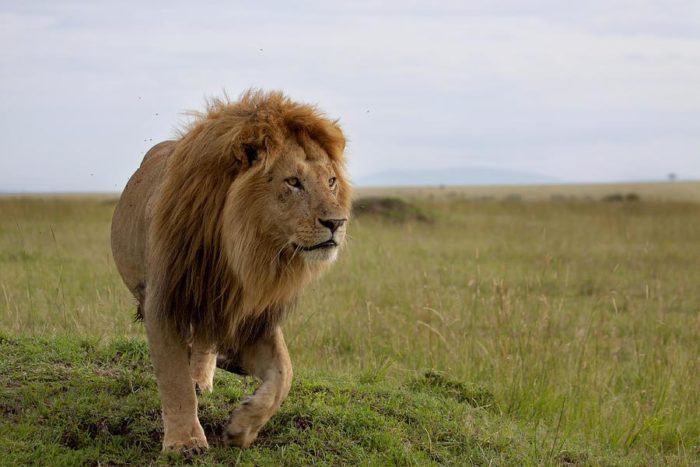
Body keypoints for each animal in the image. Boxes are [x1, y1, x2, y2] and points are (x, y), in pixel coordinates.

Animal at [111, 89, 350, 456]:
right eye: (293, 182)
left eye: (331, 181)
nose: (337, 223)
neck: (242, 253)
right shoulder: (165, 301)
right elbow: (173, 378)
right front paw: (185, 442)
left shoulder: (252, 315)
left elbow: (285, 373)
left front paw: (242, 426)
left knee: (206, 343)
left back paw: (206, 376)